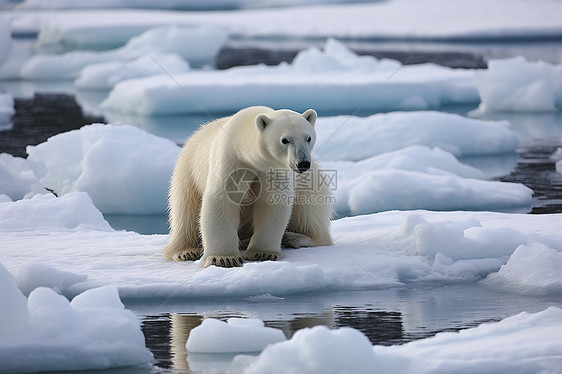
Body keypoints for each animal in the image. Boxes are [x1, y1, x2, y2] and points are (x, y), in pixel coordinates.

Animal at [164, 106, 334, 268]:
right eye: (285, 140)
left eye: (308, 138)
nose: (303, 163)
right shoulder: (231, 159)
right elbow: (222, 200)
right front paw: (224, 258)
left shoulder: (274, 169)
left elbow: (273, 202)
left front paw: (263, 253)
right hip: (188, 171)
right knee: (185, 211)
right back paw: (186, 251)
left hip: (310, 176)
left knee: (309, 206)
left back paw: (295, 237)